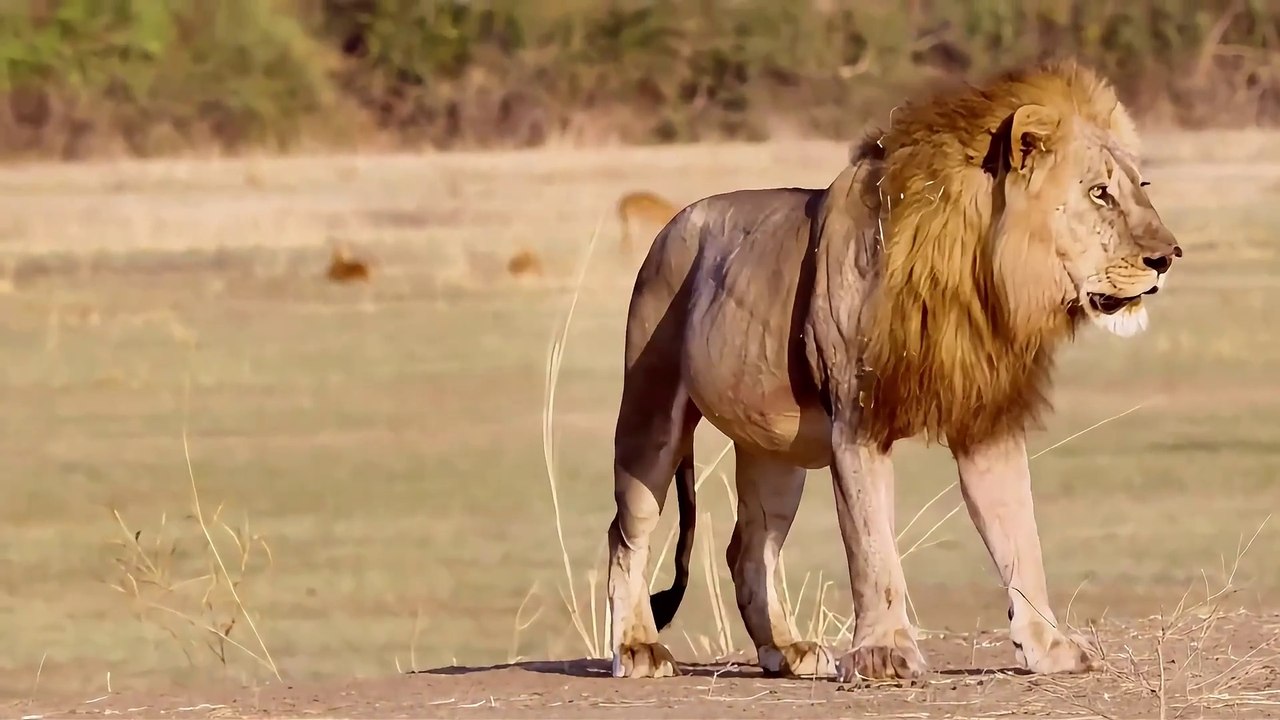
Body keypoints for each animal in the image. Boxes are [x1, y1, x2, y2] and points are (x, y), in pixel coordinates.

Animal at [606, 59, 1181, 682]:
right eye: (1100, 193)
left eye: (1141, 189)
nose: (1168, 257)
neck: (979, 278)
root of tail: (672, 222)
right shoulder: (857, 421)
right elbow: (872, 548)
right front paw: (883, 653)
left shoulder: (987, 421)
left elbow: (1021, 541)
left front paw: (1048, 646)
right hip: (651, 417)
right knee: (627, 533)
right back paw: (637, 648)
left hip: (774, 451)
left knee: (750, 546)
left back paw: (787, 651)